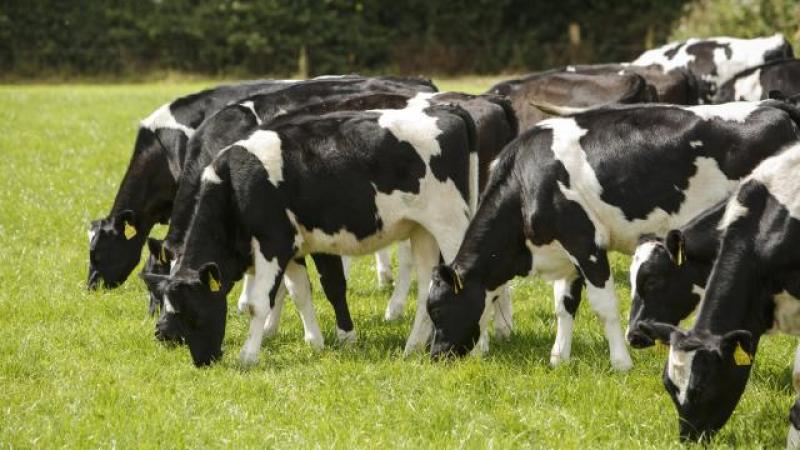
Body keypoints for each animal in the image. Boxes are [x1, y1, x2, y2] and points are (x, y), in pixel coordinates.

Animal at [142, 101, 479, 367]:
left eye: (194, 314)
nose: (202, 362)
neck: (235, 185)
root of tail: (448, 110)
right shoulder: (292, 246)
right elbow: (300, 292)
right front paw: (315, 342)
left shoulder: (272, 243)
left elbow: (258, 303)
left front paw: (248, 356)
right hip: (423, 231)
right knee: (427, 290)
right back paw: (412, 348)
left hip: (451, 226)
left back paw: (480, 347)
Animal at [425, 100, 800, 371]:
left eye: (438, 310)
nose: (434, 354)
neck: (527, 181)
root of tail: (774, 105)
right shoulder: (566, 253)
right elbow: (564, 305)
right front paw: (559, 359)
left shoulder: (586, 244)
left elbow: (604, 306)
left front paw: (621, 363)